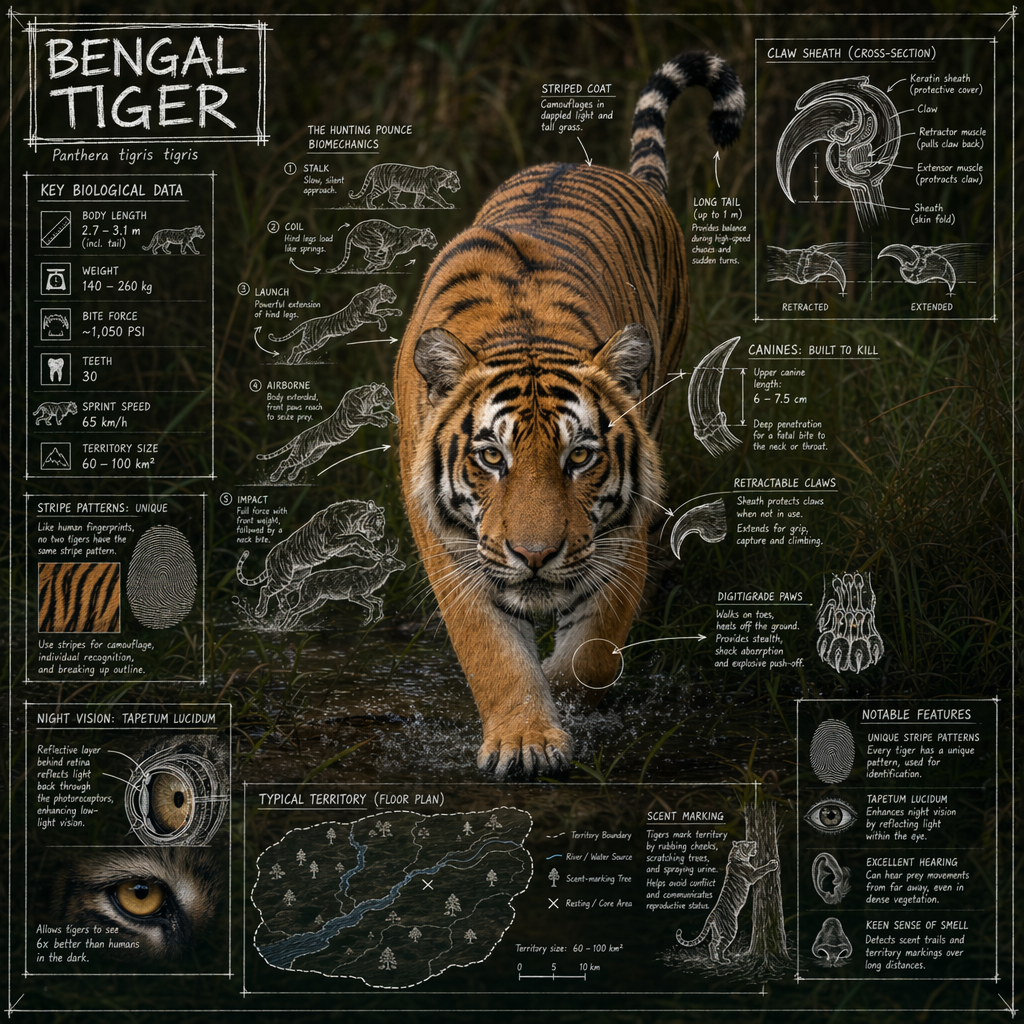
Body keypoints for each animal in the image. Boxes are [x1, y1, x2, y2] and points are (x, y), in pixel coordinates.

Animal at [268, 284, 403, 365]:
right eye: (390, 292)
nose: (396, 295)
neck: (375, 299)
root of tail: (307, 323)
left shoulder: (373, 311)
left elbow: (385, 311)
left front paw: (397, 312)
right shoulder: (363, 316)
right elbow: (380, 316)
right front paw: (383, 326)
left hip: (318, 343)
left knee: (302, 351)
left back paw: (297, 363)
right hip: (312, 340)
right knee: (297, 348)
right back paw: (290, 362)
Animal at [393, 51, 745, 779]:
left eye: (579, 456)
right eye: (490, 457)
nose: (534, 556)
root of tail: (612, 170)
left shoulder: (622, 529)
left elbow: (594, 649)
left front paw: (562, 693)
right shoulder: (447, 544)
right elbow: (492, 650)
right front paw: (525, 739)